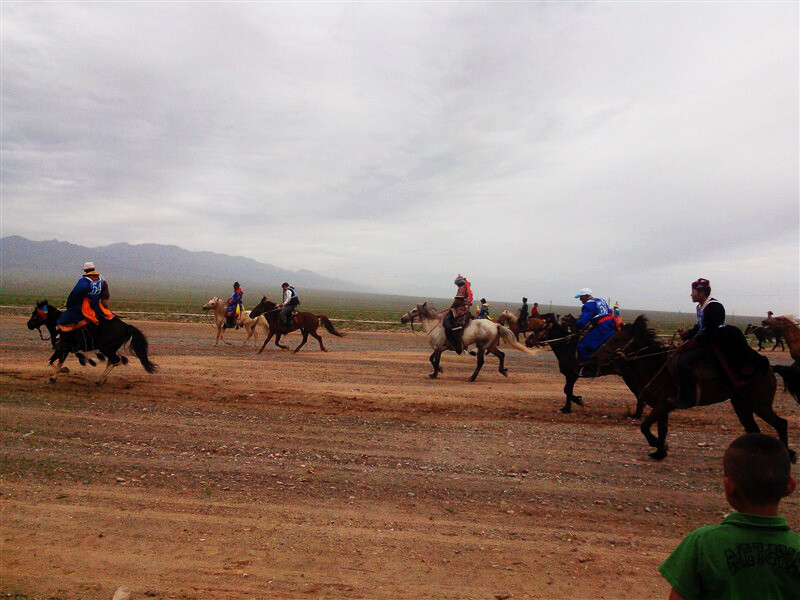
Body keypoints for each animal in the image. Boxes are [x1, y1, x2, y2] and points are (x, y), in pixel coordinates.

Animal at [398, 302, 536, 382]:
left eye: (414, 311)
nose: (402, 318)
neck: (436, 326)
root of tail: (496, 325)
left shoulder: (439, 348)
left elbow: (431, 359)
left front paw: (438, 371)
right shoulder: (440, 349)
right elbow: (435, 360)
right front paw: (435, 373)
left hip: (482, 346)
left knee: (480, 362)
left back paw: (472, 377)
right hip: (490, 346)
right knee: (502, 355)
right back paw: (503, 371)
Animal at [592, 316, 800, 462]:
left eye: (618, 338)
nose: (594, 357)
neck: (656, 366)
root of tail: (770, 368)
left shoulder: (662, 406)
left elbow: (645, 427)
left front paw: (658, 445)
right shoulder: (663, 408)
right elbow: (661, 429)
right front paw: (660, 452)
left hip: (760, 404)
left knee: (781, 423)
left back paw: (788, 454)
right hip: (741, 404)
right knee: (753, 429)